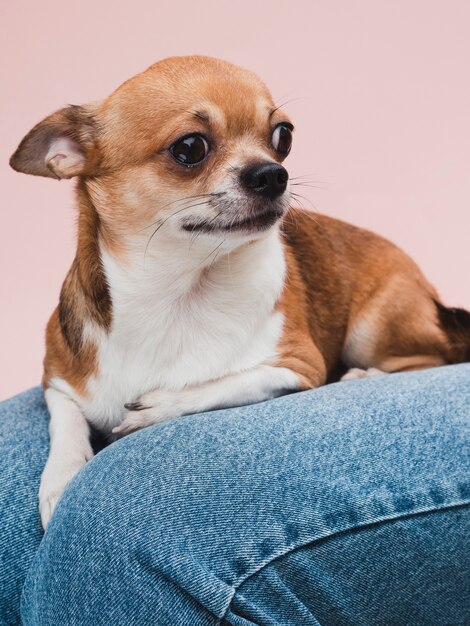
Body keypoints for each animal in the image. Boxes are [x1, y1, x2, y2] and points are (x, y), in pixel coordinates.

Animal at [10, 54, 470, 528]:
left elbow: (225, 382)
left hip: (373, 328)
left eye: (283, 136)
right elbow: (65, 419)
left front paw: (162, 404)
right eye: (190, 148)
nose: (273, 173)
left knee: (431, 357)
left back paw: (366, 374)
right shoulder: (58, 378)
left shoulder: (298, 366)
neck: (178, 293)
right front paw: (61, 478)